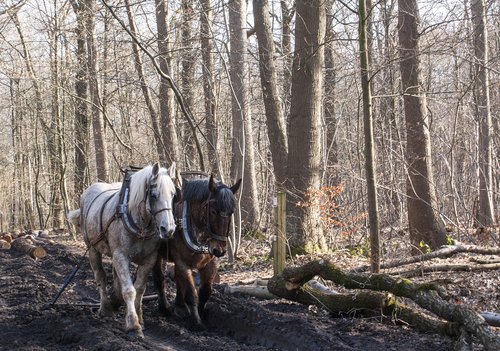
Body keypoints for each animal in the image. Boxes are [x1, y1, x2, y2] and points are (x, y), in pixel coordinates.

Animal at [68, 164, 178, 340]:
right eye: (154, 195)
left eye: (173, 194)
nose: (168, 229)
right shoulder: (121, 256)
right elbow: (129, 291)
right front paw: (133, 325)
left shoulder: (150, 258)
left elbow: (139, 288)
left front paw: (140, 317)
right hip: (92, 249)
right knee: (100, 277)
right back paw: (105, 308)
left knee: (115, 277)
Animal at [153, 175, 241, 332]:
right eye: (213, 211)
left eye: (231, 211)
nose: (220, 250)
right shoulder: (183, 263)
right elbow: (191, 293)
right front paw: (196, 322)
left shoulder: (210, 263)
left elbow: (205, 291)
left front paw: (201, 314)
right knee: (159, 278)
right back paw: (165, 308)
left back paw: (180, 306)